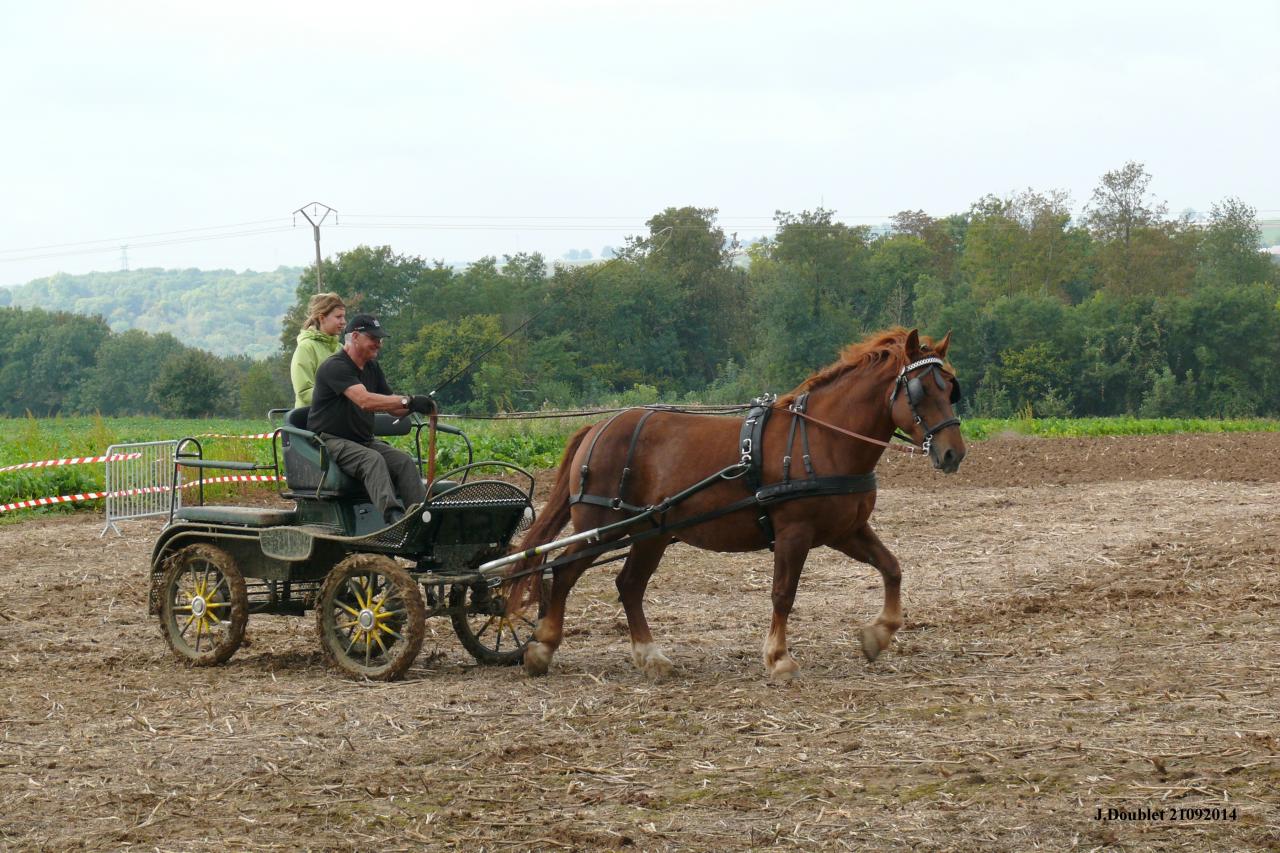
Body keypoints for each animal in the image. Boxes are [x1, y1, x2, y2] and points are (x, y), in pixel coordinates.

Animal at [507, 327, 966, 681]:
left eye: (951, 388)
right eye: (922, 390)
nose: (953, 454)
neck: (823, 439)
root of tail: (599, 426)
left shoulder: (846, 530)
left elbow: (891, 568)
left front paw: (878, 635)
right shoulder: (794, 533)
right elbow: (783, 593)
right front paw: (779, 659)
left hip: (651, 533)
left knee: (628, 585)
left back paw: (650, 657)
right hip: (601, 525)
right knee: (563, 572)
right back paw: (542, 647)